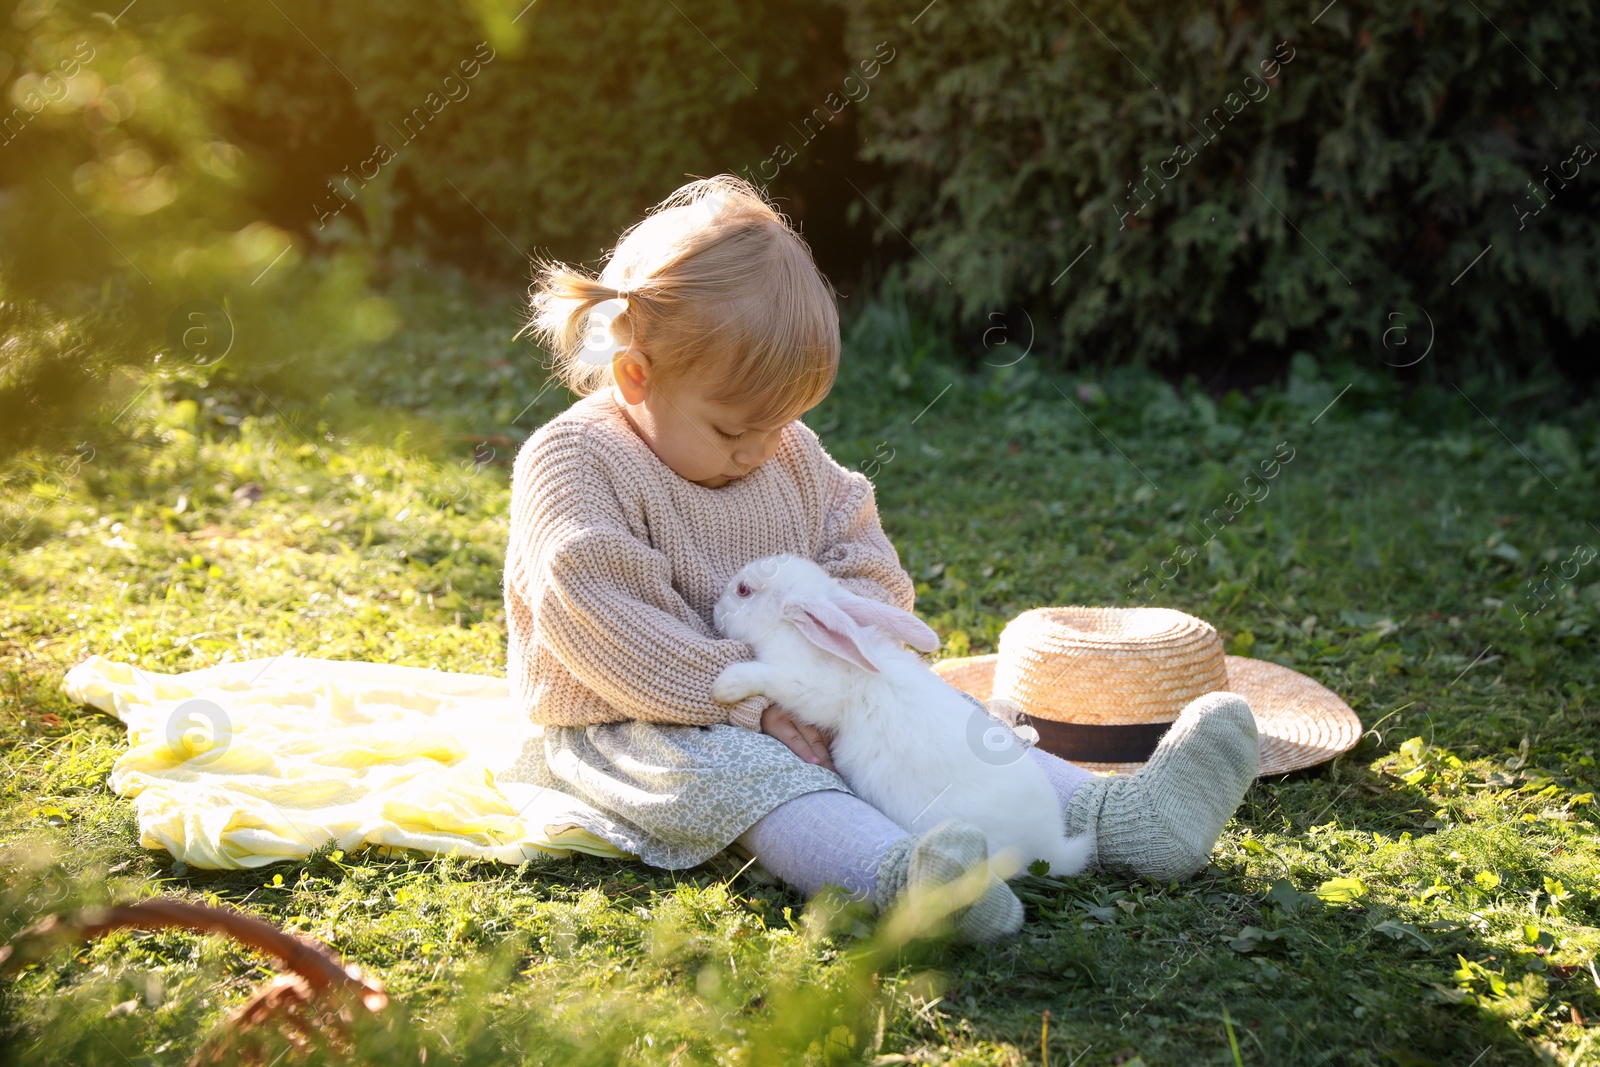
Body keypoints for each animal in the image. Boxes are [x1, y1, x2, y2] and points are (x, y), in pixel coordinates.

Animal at [710, 556, 1094, 883]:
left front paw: (724, 687)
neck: (794, 635)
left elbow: (768, 678)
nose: (714, 609)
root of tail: (1049, 847)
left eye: (743, 590)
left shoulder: (810, 690)